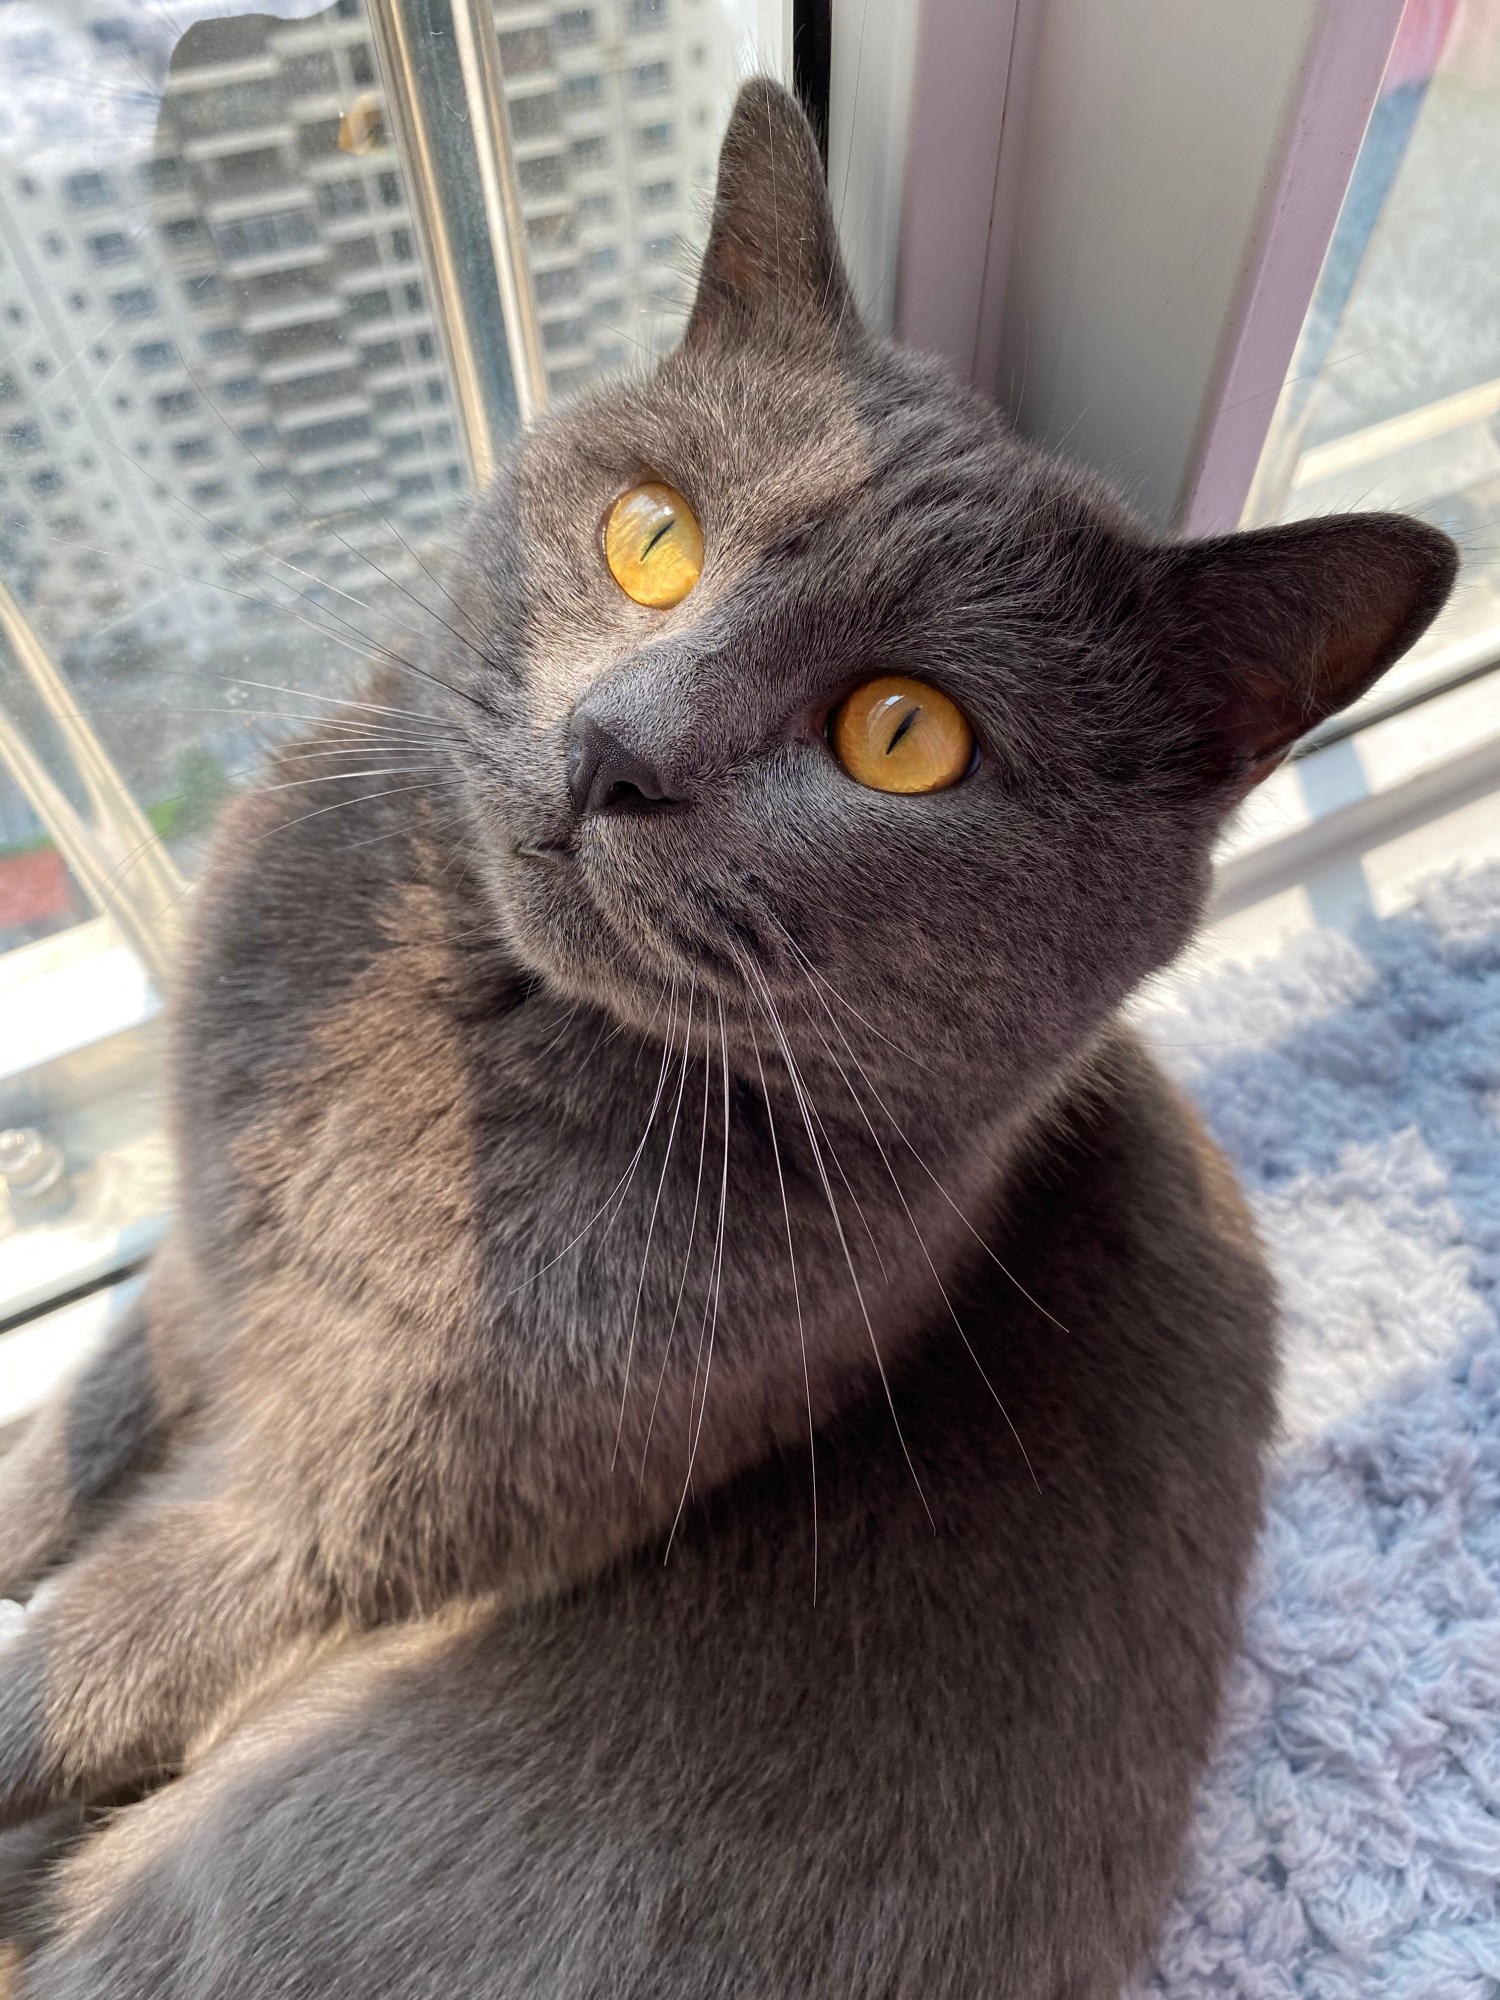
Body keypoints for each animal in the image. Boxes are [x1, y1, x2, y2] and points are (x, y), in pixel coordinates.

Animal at [0, 82, 1464, 2000]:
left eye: (906, 735)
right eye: (653, 533)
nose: (615, 744)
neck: (446, 1038)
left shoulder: (361, 1514)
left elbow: (100, 1643)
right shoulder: (196, 1267)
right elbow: (81, 1421)